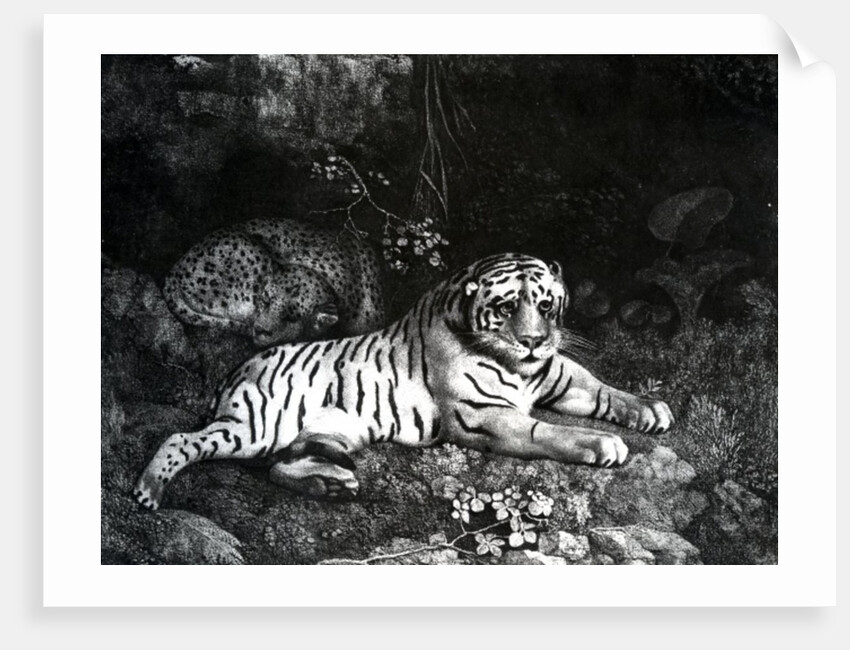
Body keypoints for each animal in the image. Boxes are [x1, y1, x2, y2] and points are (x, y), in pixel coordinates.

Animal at [134, 253, 673, 510]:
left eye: (545, 304)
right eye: (505, 308)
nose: (534, 341)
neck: (519, 366)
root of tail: (238, 367)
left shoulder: (557, 373)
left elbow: (602, 388)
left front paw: (651, 409)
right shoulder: (482, 417)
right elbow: (549, 431)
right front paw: (602, 444)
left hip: (333, 432)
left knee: (280, 467)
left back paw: (333, 484)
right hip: (255, 425)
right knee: (182, 438)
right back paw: (149, 491)